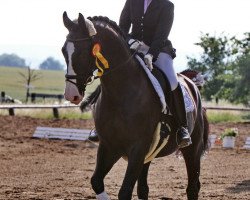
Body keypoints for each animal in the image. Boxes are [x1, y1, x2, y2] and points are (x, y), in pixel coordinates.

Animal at [62, 12, 209, 200]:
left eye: (81, 52)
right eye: (64, 50)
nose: (71, 95)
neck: (121, 91)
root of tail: (192, 84)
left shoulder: (137, 148)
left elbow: (124, 192)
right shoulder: (110, 146)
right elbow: (96, 181)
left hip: (192, 149)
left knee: (192, 187)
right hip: (149, 153)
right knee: (143, 189)